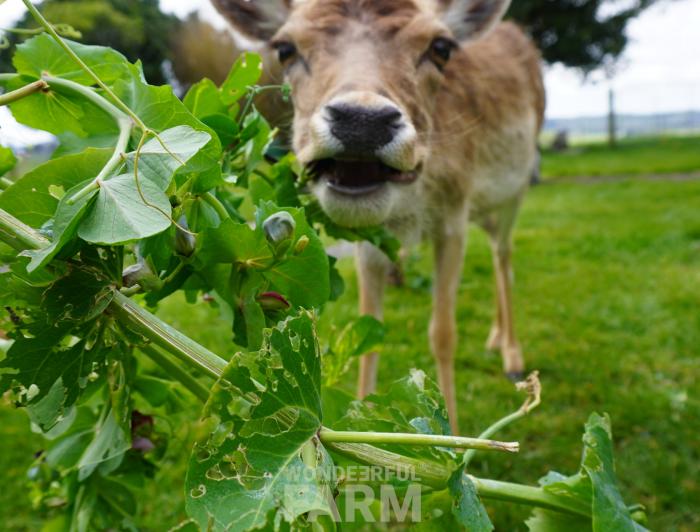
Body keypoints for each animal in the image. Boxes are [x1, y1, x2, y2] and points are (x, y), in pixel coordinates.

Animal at [212, 0, 545, 432]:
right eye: (284, 48)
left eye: (441, 47)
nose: (362, 122)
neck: (410, 208)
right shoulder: (370, 240)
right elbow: (370, 326)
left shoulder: (453, 214)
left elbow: (443, 333)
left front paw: (453, 436)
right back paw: (493, 338)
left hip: (517, 188)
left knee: (503, 256)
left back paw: (512, 357)